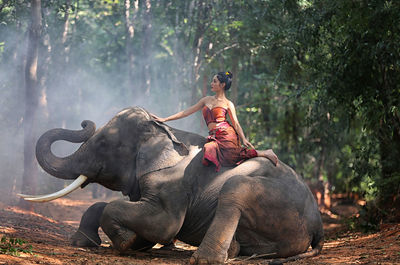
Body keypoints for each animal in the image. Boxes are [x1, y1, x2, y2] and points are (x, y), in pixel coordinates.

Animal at [20, 106, 324, 262]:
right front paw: (84, 242)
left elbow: (163, 224)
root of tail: (318, 224)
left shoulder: (174, 184)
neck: (164, 131)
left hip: (276, 202)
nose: (86, 121)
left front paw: (127, 242)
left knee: (234, 189)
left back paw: (204, 258)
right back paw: (234, 250)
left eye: (105, 144)